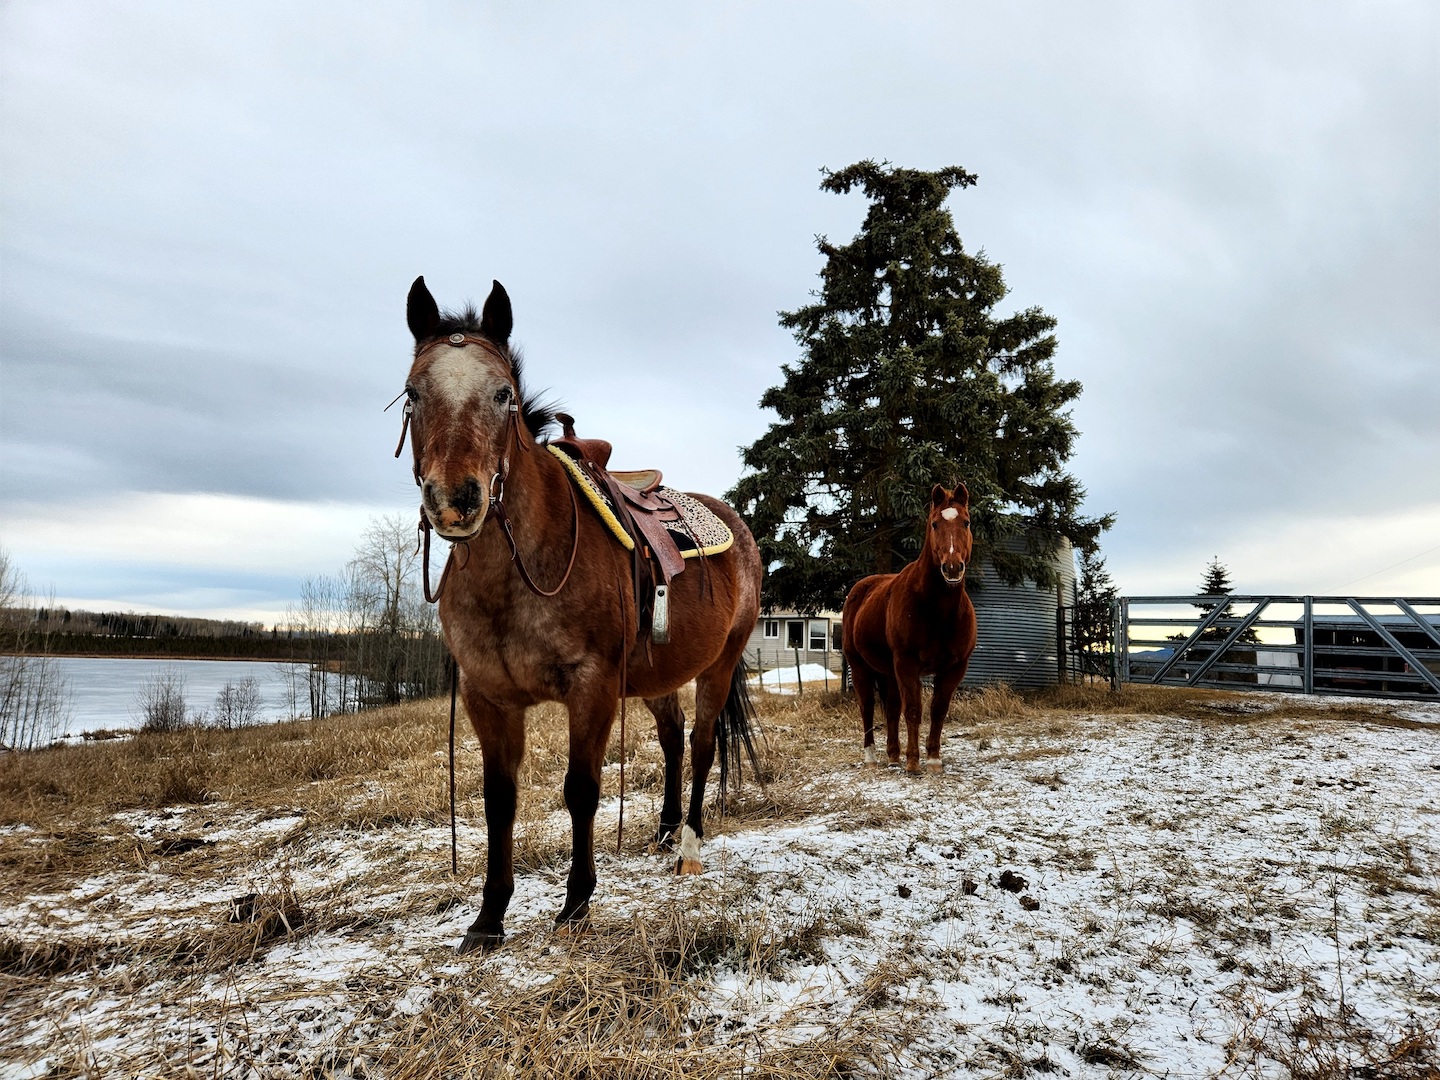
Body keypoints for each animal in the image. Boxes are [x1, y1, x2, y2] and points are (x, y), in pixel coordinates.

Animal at [398, 276, 762, 954]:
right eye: (413, 393)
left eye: (504, 395)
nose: (456, 499)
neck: (518, 569)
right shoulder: (489, 696)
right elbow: (499, 799)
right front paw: (489, 918)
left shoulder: (590, 687)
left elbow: (582, 790)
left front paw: (576, 902)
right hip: (654, 675)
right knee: (673, 737)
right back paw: (665, 829)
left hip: (719, 664)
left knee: (700, 744)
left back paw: (689, 845)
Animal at [841, 484, 977, 774]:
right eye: (935, 524)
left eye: (966, 522)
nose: (952, 567)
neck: (937, 610)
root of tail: (859, 589)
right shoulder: (907, 663)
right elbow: (913, 709)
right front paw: (913, 762)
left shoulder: (954, 668)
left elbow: (938, 710)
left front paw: (934, 759)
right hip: (860, 666)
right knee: (867, 706)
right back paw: (872, 757)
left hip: (888, 672)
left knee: (891, 708)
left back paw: (893, 756)